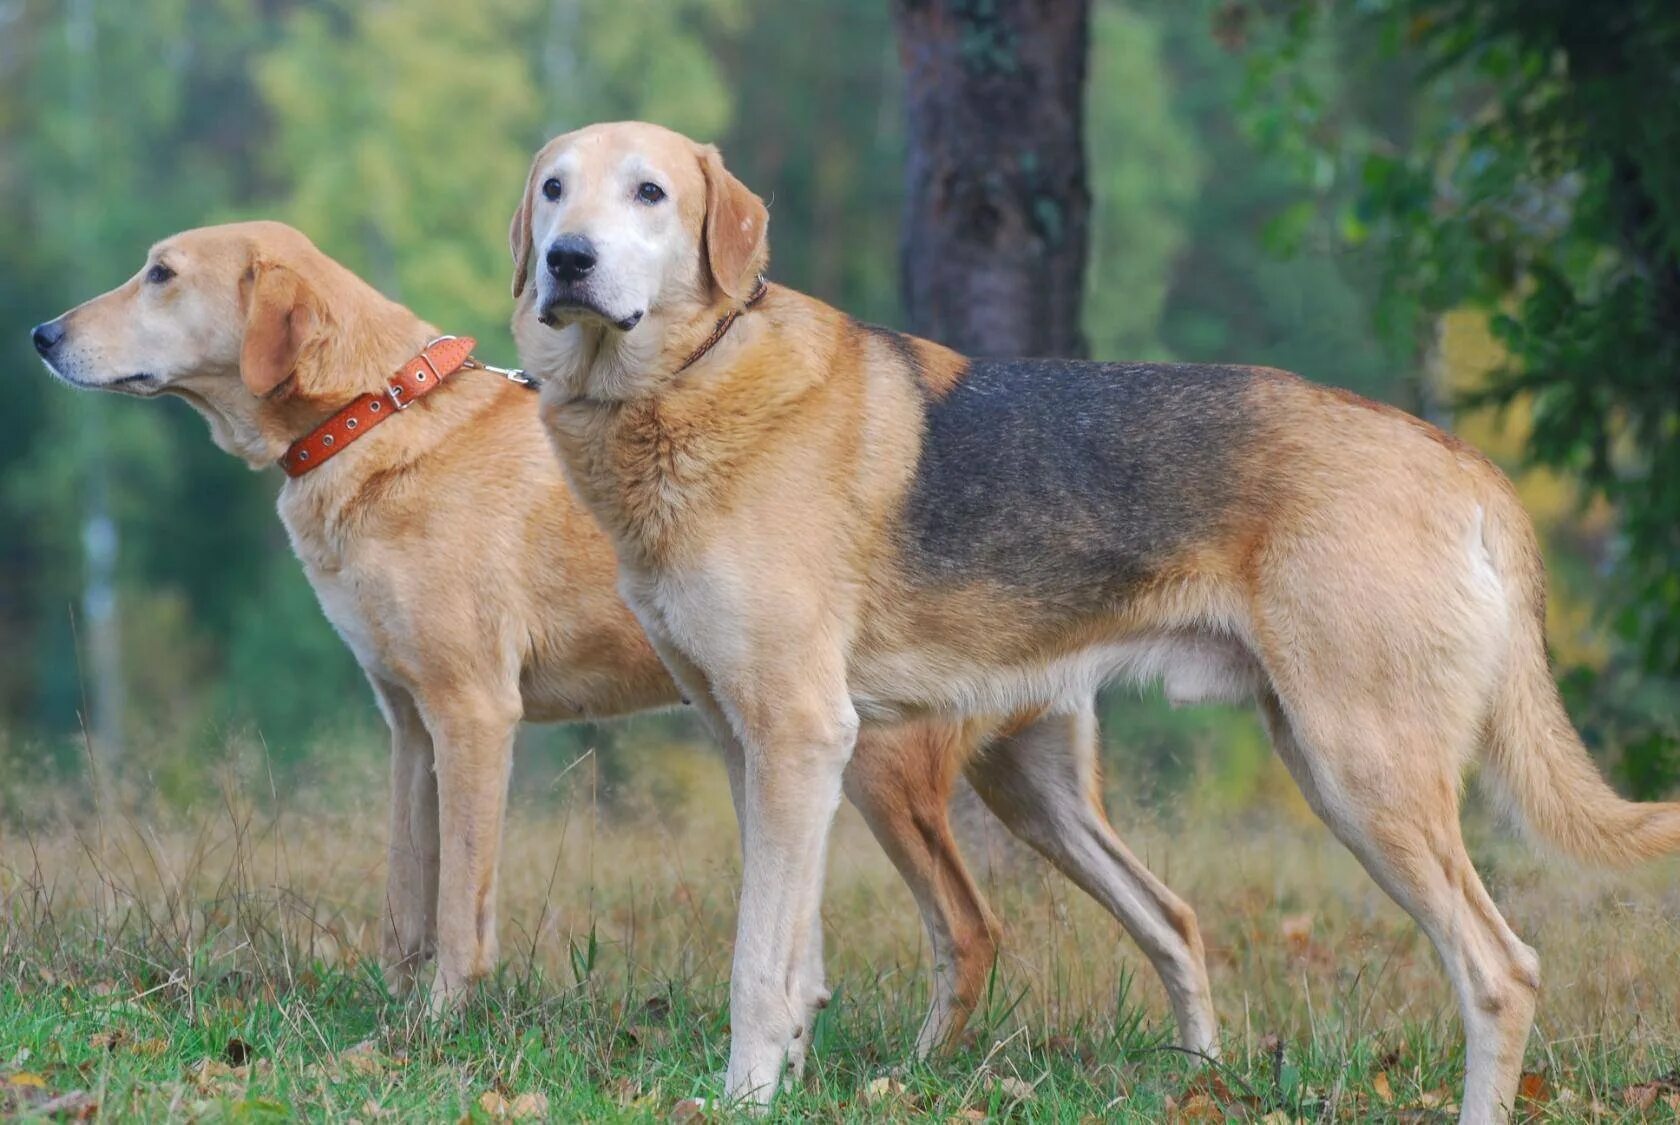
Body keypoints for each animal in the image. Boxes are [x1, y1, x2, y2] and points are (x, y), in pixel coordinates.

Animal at [32, 218, 1216, 1067]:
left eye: (160, 274)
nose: (41, 334)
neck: (373, 417)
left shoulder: (475, 714)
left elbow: (460, 911)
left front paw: (435, 1033)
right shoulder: (408, 726)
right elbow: (404, 904)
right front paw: (390, 1021)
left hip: (884, 768)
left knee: (972, 929)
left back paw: (912, 1075)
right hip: (1032, 785)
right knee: (1171, 914)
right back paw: (1189, 1069)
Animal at [507, 123, 1680, 1121]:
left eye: (651, 192)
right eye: (555, 187)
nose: (566, 260)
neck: (690, 382)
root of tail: (1464, 466)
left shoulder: (802, 738)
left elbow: (759, 964)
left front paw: (747, 1096)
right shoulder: (749, 745)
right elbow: (797, 960)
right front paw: (785, 1080)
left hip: (1364, 773)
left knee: (1500, 969)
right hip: (1129, 780)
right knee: (1183, 920)